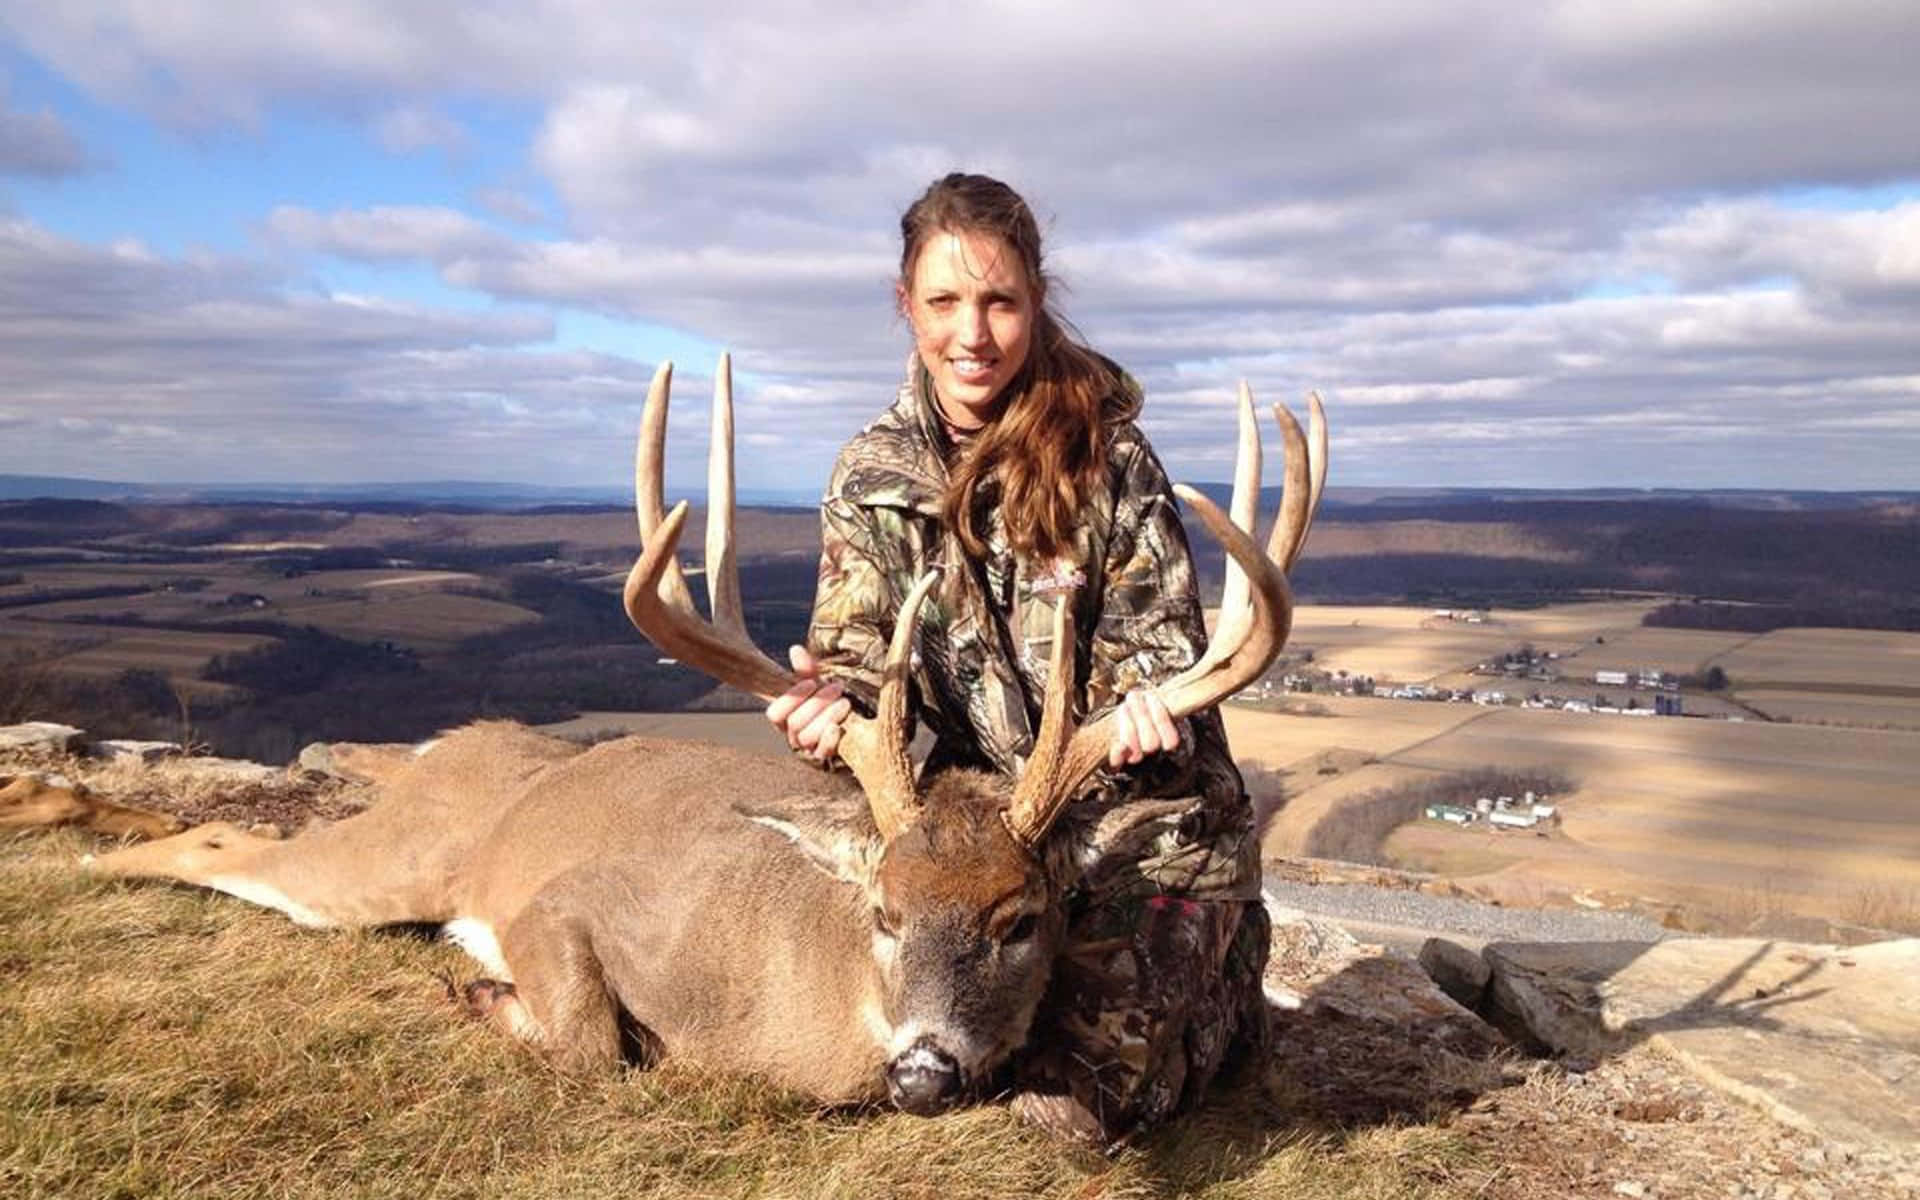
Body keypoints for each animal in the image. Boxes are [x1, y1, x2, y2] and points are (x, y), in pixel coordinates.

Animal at [83, 355, 1327, 1121]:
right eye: (884, 911)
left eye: (1023, 917)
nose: (924, 1074)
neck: (786, 999)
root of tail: (457, 741)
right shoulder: (565, 906)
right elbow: (594, 1044)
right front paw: (484, 996)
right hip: (407, 857)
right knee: (221, 849)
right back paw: (96, 858)